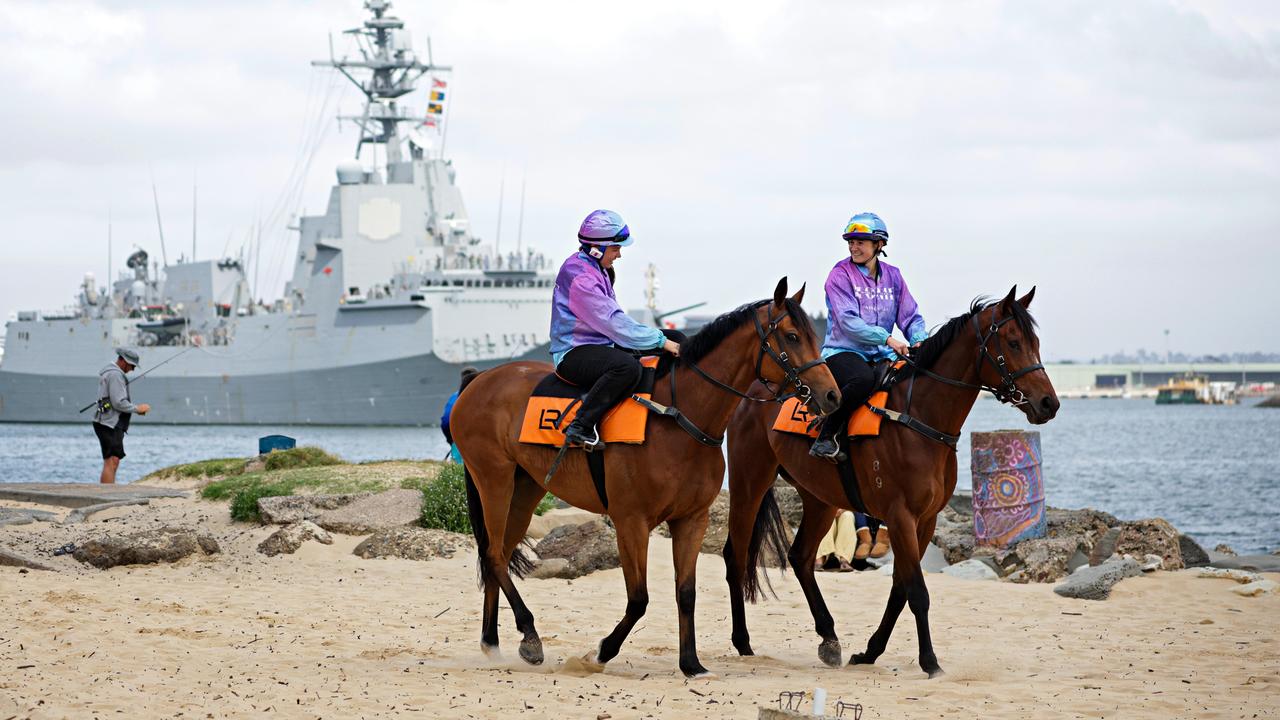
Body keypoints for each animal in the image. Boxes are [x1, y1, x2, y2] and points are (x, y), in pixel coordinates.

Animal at [450, 278, 839, 676]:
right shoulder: (631, 521)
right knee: (494, 554)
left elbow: (686, 592)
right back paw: (529, 635)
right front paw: (602, 652)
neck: (677, 417)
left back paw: (492, 641)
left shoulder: (692, 520)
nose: (831, 395)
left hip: (525, 487)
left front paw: (691, 663)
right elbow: (639, 599)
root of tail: (479, 379)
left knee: (499, 553)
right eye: (792, 336)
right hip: (494, 480)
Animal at [721, 284, 1059, 671]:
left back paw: (829, 638)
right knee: (736, 555)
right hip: (750, 484)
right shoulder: (901, 516)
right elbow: (917, 591)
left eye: (1035, 341)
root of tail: (751, 392)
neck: (918, 418)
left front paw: (870, 651)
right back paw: (743, 641)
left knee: (801, 557)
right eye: (1014, 342)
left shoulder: (925, 520)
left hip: (819, 498)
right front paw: (930, 661)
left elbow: (901, 588)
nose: (1049, 403)